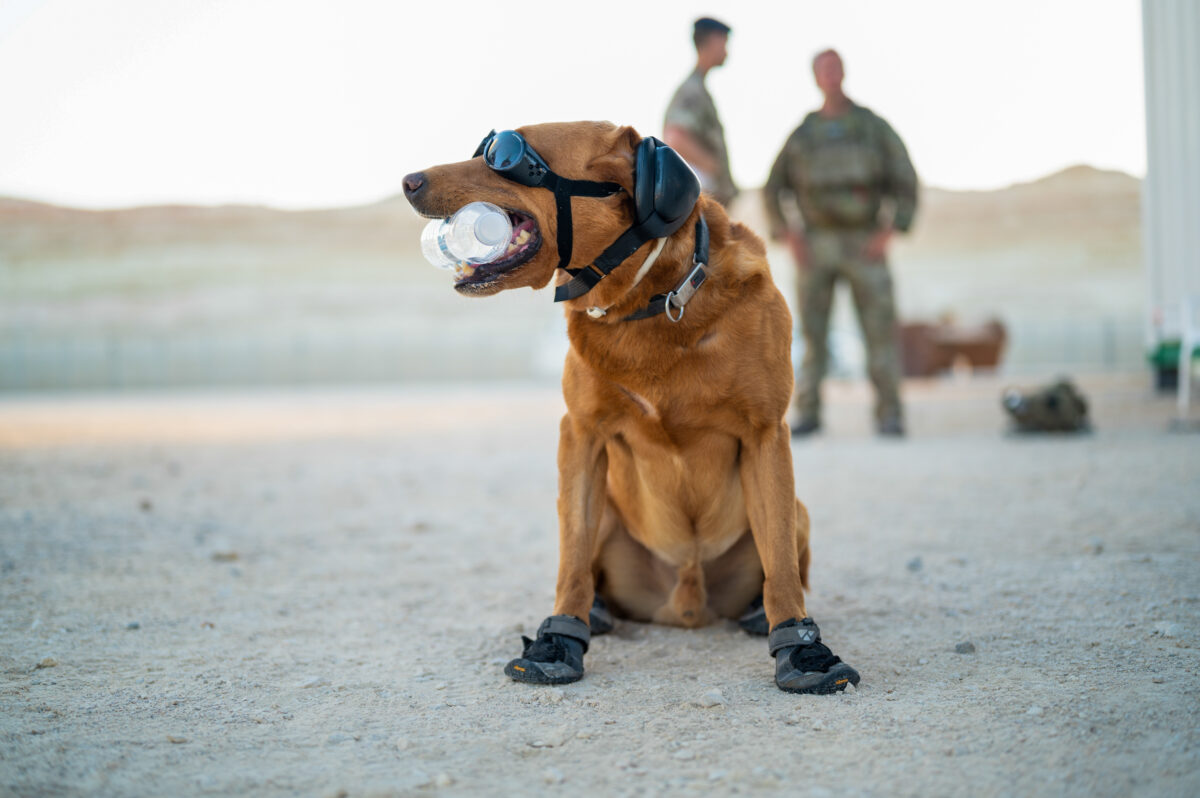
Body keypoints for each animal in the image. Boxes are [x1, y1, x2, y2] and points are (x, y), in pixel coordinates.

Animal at [408, 118, 859, 691]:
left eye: (504, 156)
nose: (408, 181)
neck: (651, 302)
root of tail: (684, 604)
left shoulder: (766, 435)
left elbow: (779, 565)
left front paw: (802, 649)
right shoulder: (581, 434)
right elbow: (572, 560)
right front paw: (560, 638)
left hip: (796, 510)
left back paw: (758, 613)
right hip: (607, 514)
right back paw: (597, 612)